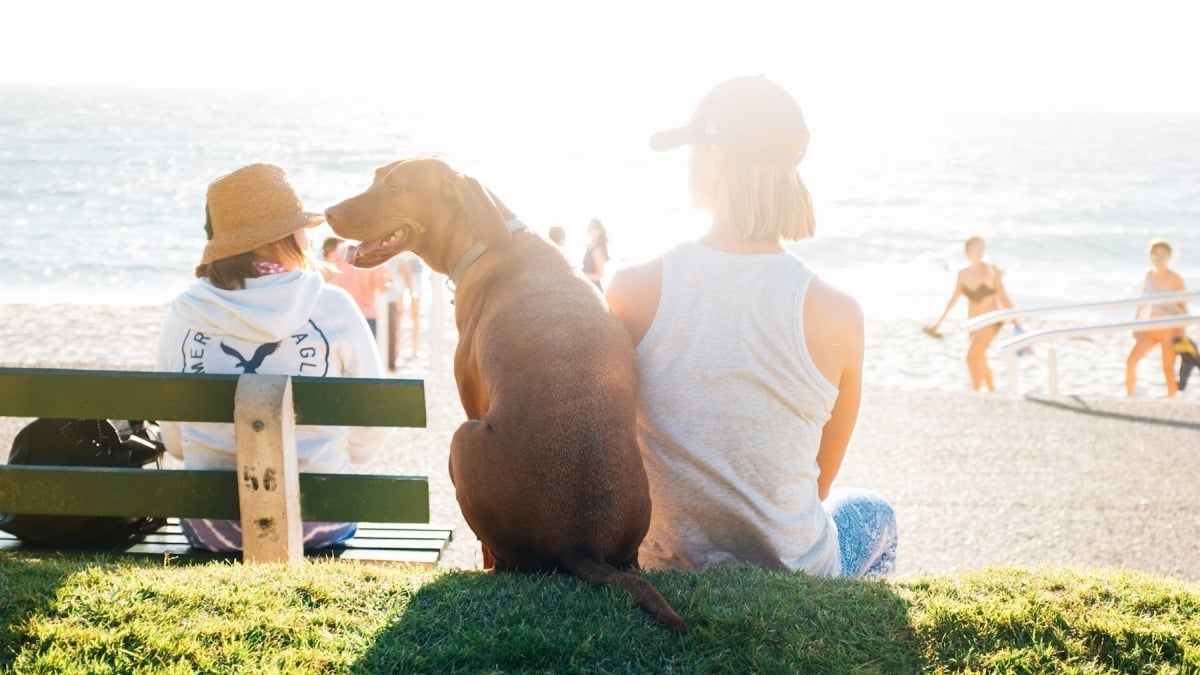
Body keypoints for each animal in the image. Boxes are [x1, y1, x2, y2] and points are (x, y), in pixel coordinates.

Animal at [324, 156, 691, 629]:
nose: (328, 213)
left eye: (395, 188)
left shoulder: (471, 399)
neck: (490, 238)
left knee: (499, 558)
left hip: (462, 439)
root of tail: (581, 543)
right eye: (375, 178)